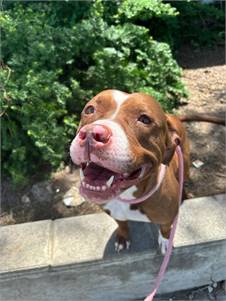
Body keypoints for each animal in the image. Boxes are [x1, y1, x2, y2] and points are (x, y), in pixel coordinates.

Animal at [69, 89, 221, 253]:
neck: (128, 196)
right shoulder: (115, 213)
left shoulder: (167, 218)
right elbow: (121, 224)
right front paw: (122, 237)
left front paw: (166, 241)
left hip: (185, 165)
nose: (92, 133)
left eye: (145, 119)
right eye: (90, 109)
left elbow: (165, 229)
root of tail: (171, 116)